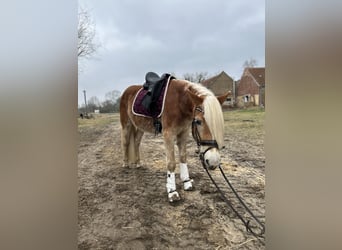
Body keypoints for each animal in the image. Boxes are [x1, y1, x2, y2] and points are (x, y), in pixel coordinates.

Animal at [119, 74, 228, 203]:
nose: (213, 161)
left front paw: (186, 182)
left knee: (136, 143)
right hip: (126, 125)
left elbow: (183, 157)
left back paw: (138, 163)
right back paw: (125, 164)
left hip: (140, 127)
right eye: (198, 121)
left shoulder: (183, 133)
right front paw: (172, 192)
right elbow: (171, 163)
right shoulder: (168, 134)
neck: (179, 101)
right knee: (125, 143)